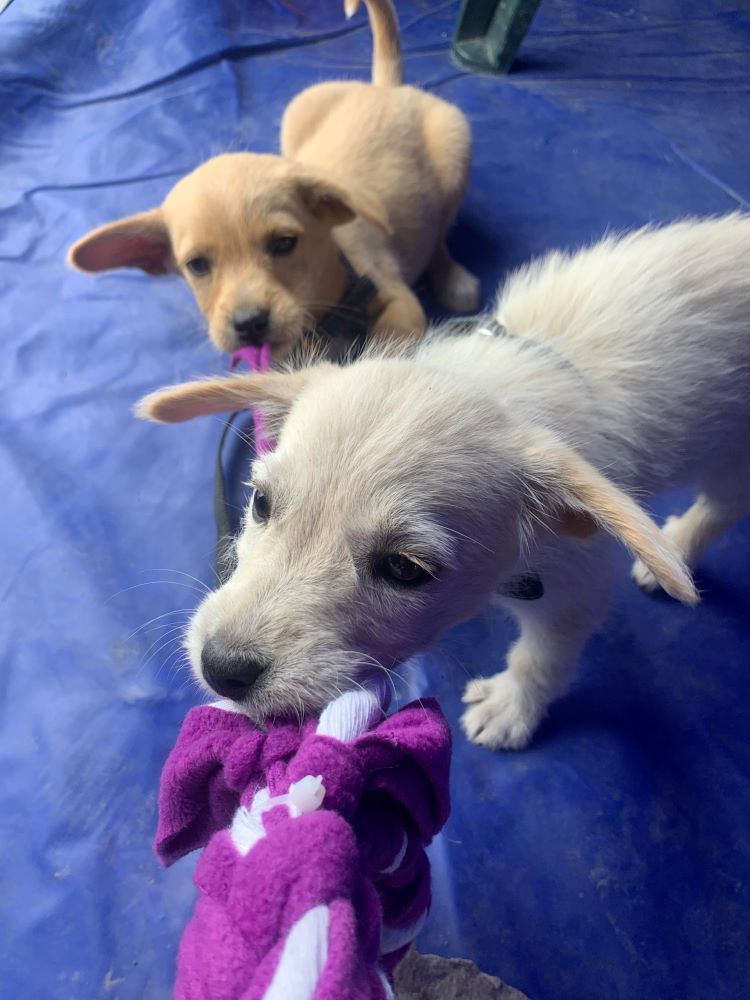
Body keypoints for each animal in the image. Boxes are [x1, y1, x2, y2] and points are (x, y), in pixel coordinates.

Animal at [67, 0, 478, 358]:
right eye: (197, 265)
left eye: (284, 244)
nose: (249, 323)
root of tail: (386, 89)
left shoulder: (402, 303)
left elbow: (379, 348)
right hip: (298, 109)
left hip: (454, 147)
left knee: (441, 232)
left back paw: (453, 279)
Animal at [137, 217, 750, 752]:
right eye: (261, 503)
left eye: (405, 569)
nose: (222, 670)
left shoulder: (578, 583)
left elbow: (542, 658)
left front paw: (511, 707)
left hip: (730, 456)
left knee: (722, 504)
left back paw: (675, 547)